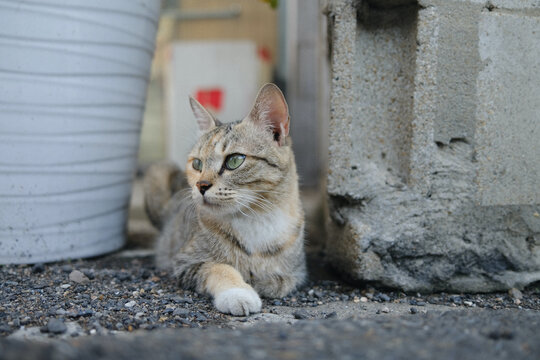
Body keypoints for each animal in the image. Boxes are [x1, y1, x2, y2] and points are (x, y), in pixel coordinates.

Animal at [143, 84, 306, 316]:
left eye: (234, 160)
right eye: (197, 164)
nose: (200, 185)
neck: (256, 217)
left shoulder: (297, 272)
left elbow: (281, 280)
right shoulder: (187, 262)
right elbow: (220, 267)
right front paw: (239, 293)